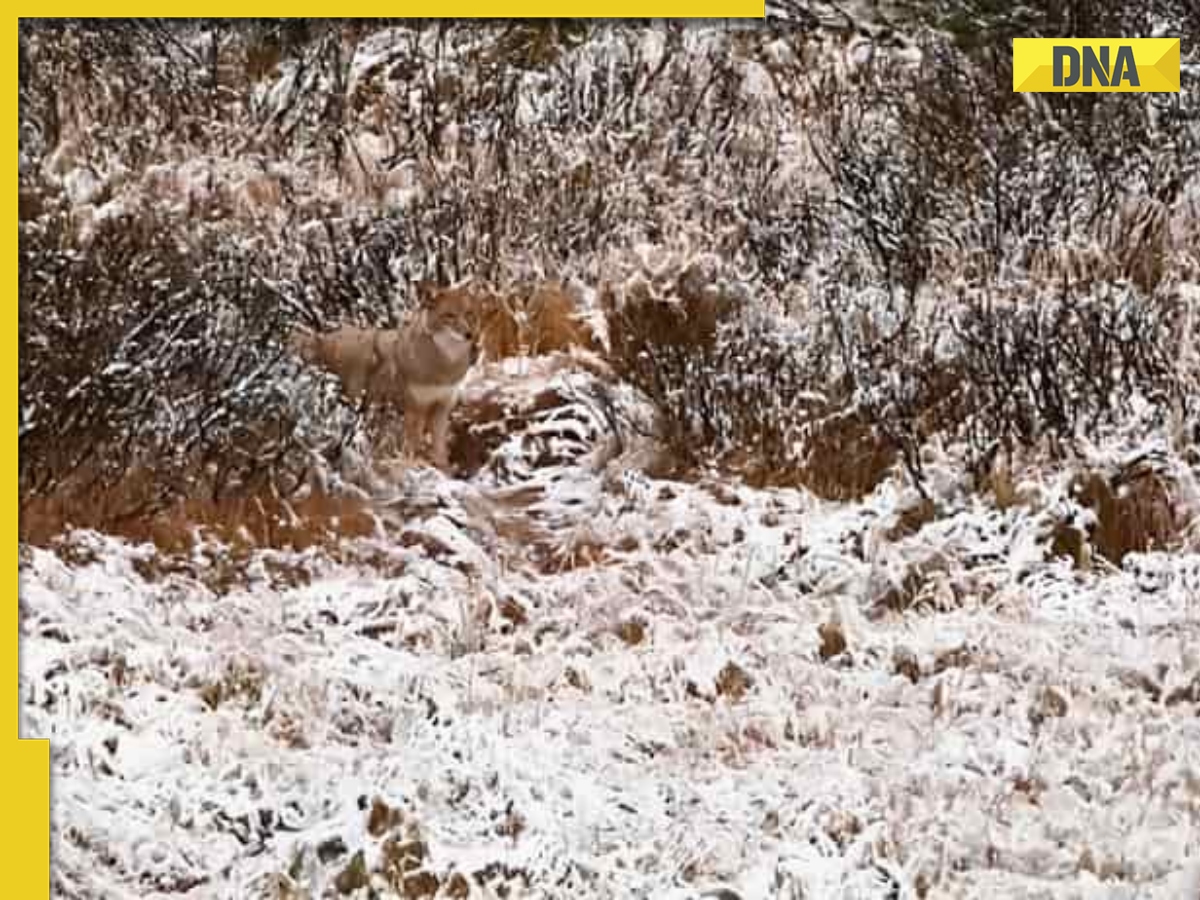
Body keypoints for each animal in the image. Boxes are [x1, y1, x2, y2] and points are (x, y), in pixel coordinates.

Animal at [290, 281, 481, 469]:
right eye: (450, 316)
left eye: (469, 314)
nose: (469, 335)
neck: (443, 367)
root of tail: (321, 339)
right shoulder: (415, 409)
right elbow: (412, 446)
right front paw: (413, 466)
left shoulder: (442, 407)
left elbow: (440, 449)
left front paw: (442, 470)